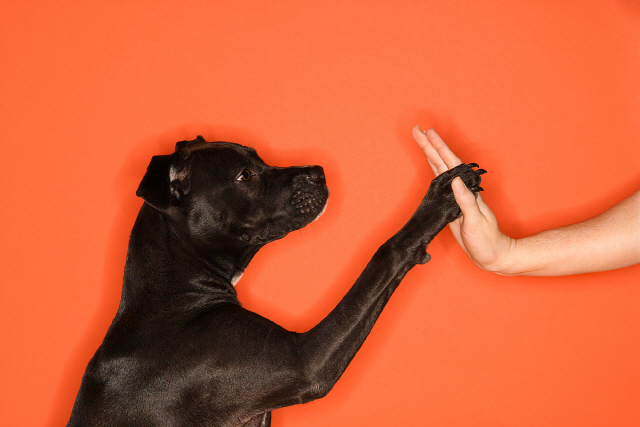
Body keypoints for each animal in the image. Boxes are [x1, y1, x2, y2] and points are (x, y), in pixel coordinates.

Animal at [66, 137, 484, 427]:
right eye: (244, 175)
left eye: (260, 158)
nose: (319, 171)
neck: (172, 294)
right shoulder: (304, 362)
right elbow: (385, 254)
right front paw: (439, 200)